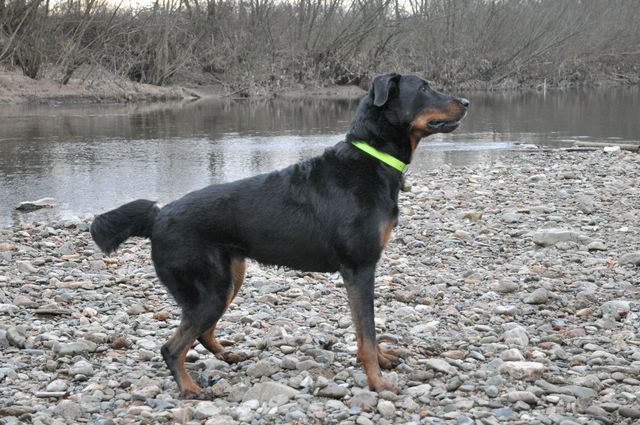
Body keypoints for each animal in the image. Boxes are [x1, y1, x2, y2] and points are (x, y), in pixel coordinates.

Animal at [90, 72, 468, 394]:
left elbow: (368, 334)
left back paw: (225, 355)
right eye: (423, 88)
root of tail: (158, 217)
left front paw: (383, 361)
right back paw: (189, 389)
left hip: (228, 280)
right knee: (171, 347)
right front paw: (376, 381)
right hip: (209, 290)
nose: (465, 101)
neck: (373, 159)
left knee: (199, 334)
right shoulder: (360, 269)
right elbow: (366, 334)